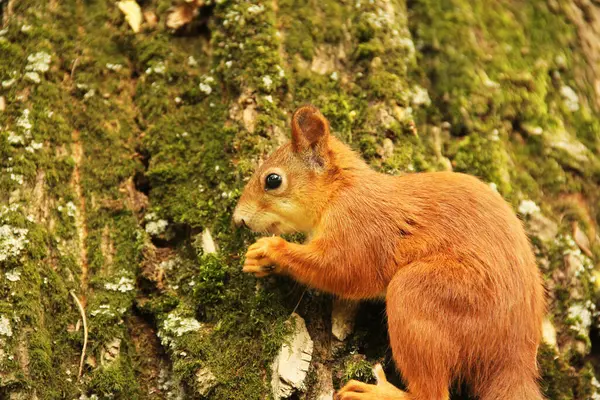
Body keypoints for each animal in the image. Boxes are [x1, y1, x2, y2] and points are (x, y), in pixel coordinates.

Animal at [232, 105, 548, 400]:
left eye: (273, 180)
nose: (238, 219)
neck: (340, 191)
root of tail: (513, 357)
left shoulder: (360, 228)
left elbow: (341, 271)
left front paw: (272, 250)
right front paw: (257, 260)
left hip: (426, 293)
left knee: (430, 394)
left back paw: (378, 393)